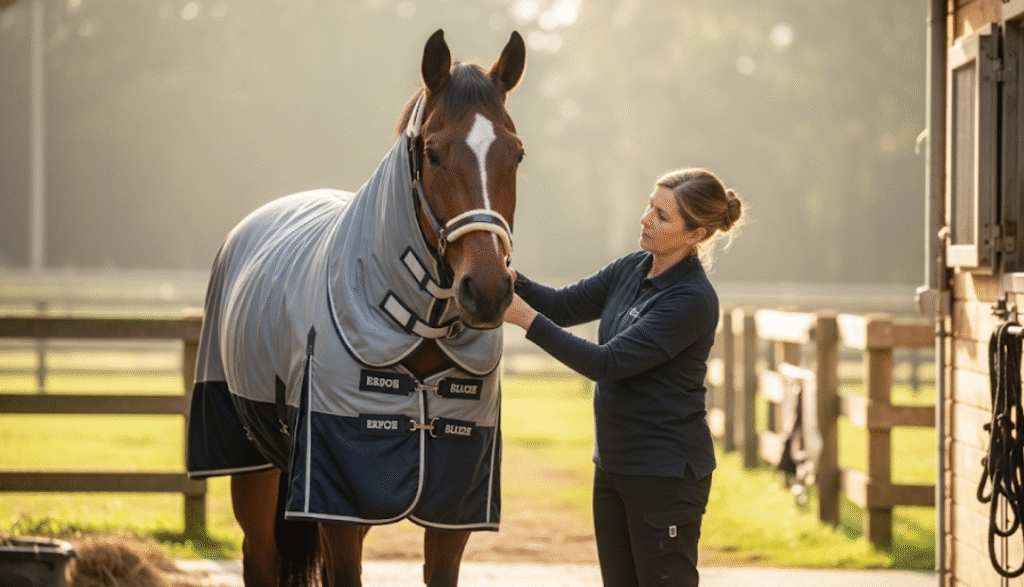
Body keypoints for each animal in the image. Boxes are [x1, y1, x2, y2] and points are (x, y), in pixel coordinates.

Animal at [185, 29, 526, 587]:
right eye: (432, 152)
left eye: (516, 154)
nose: (489, 290)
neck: (414, 326)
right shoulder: (338, 505)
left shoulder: (451, 511)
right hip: (252, 466)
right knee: (260, 558)